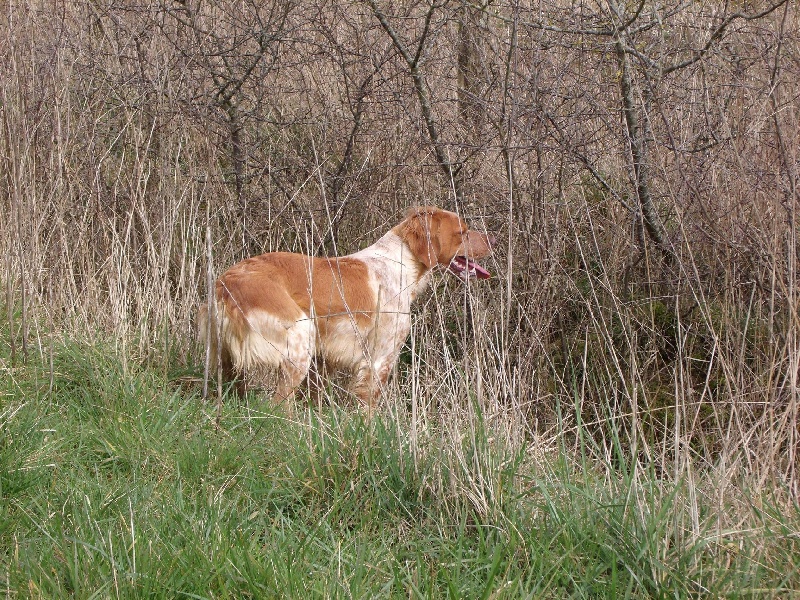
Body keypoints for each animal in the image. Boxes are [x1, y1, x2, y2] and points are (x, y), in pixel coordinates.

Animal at [198, 205, 494, 408]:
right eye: (462, 232)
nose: (492, 240)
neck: (400, 263)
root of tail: (226, 283)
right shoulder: (379, 360)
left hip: (229, 359)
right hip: (300, 340)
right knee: (279, 405)